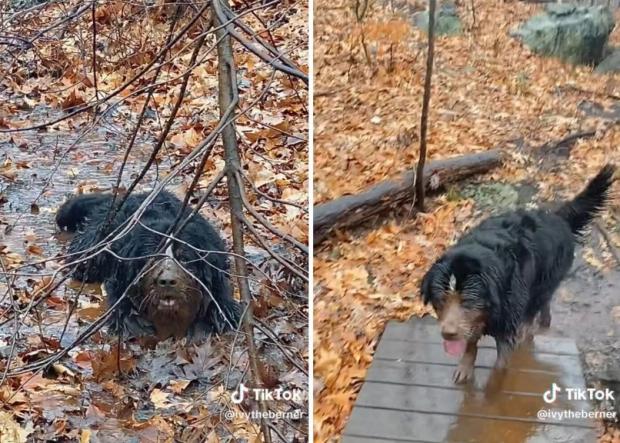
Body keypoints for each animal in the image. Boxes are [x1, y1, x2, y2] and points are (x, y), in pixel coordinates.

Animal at [422, 165, 616, 384]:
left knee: (539, 304)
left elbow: (500, 365)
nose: (448, 334)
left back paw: (535, 326)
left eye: (468, 301)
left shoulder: (507, 327)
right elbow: (470, 342)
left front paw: (494, 385)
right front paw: (465, 367)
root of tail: (558, 217)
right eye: (440, 300)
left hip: (543, 282)